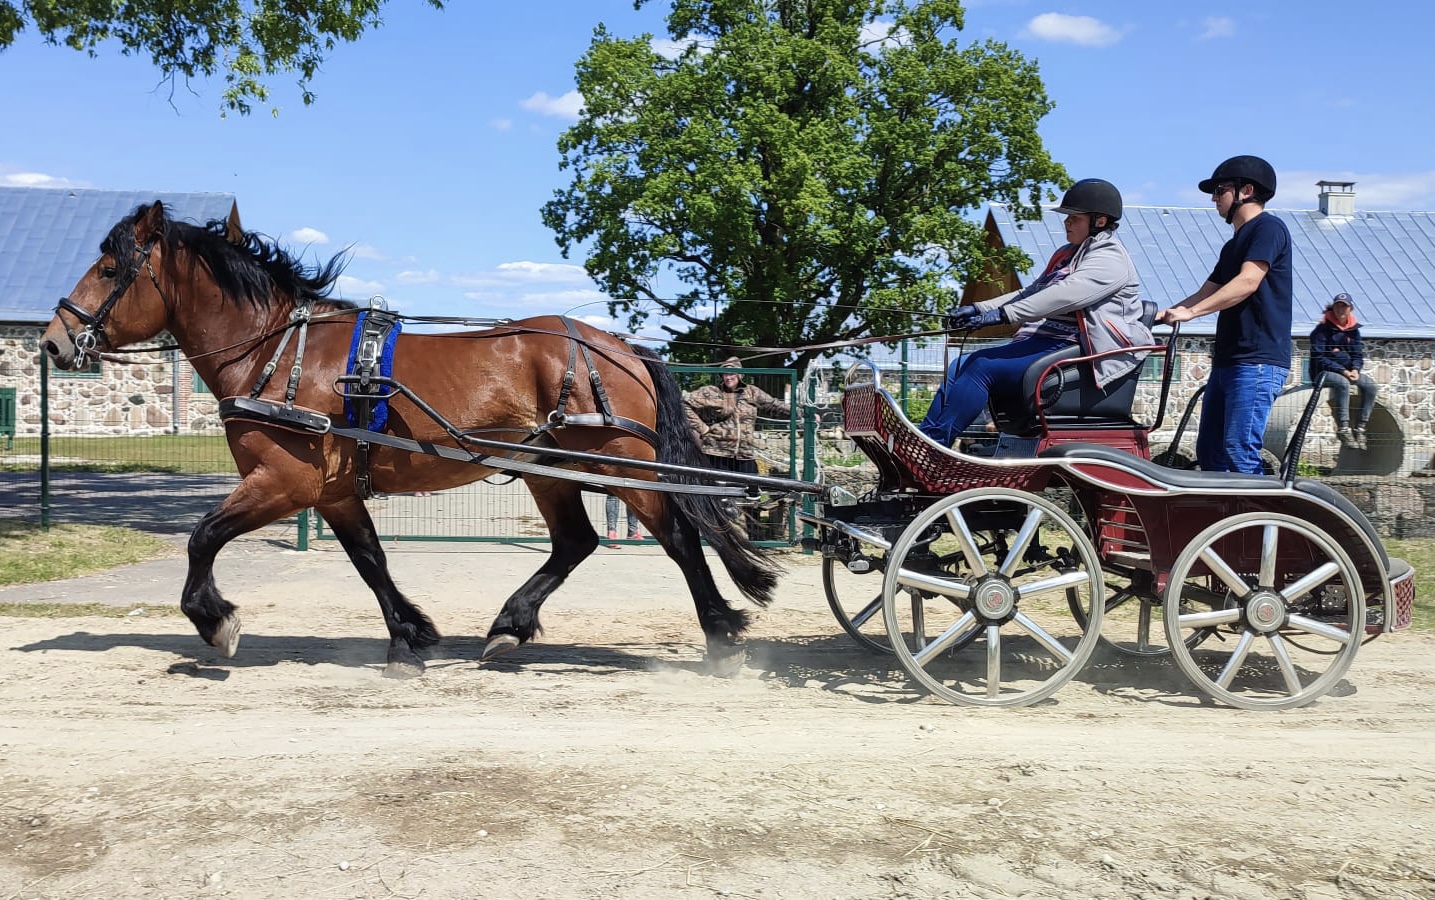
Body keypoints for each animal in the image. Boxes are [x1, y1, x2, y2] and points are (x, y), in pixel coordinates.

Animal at [41, 202, 786, 677]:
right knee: (576, 543)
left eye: (110, 270)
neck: (278, 354)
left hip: (617, 465)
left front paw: (214, 621)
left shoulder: (284, 482)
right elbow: (370, 560)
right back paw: (509, 626)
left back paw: (720, 636)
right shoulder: (333, 492)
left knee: (679, 538)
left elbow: (202, 538)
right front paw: (409, 635)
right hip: (547, 470)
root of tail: (621, 347)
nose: (53, 340)